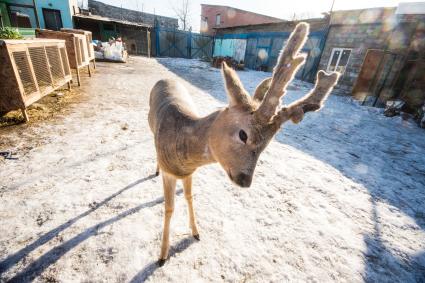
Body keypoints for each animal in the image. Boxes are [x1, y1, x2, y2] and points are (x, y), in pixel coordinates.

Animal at [147, 22, 340, 266]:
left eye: (268, 143)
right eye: (243, 134)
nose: (245, 180)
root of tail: (165, 78)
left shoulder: (189, 173)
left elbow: (190, 197)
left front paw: (196, 232)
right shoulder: (170, 172)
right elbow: (169, 208)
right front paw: (162, 256)